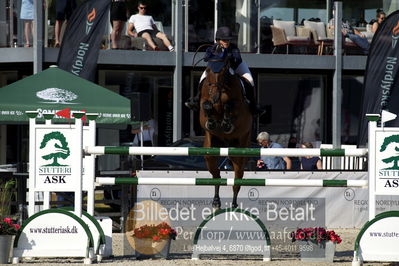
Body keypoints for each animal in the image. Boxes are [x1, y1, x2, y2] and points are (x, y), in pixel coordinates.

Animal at [200, 56, 253, 210]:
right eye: (208, 71)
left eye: (224, 71)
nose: (215, 96)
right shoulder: (204, 101)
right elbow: (206, 105)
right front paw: (212, 122)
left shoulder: (239, 106)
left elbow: (230, 105)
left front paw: (226, 123)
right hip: (210, 153)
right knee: (216, 176)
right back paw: (216, 202)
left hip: (240, 152)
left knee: (237, 179)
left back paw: (234, 204)